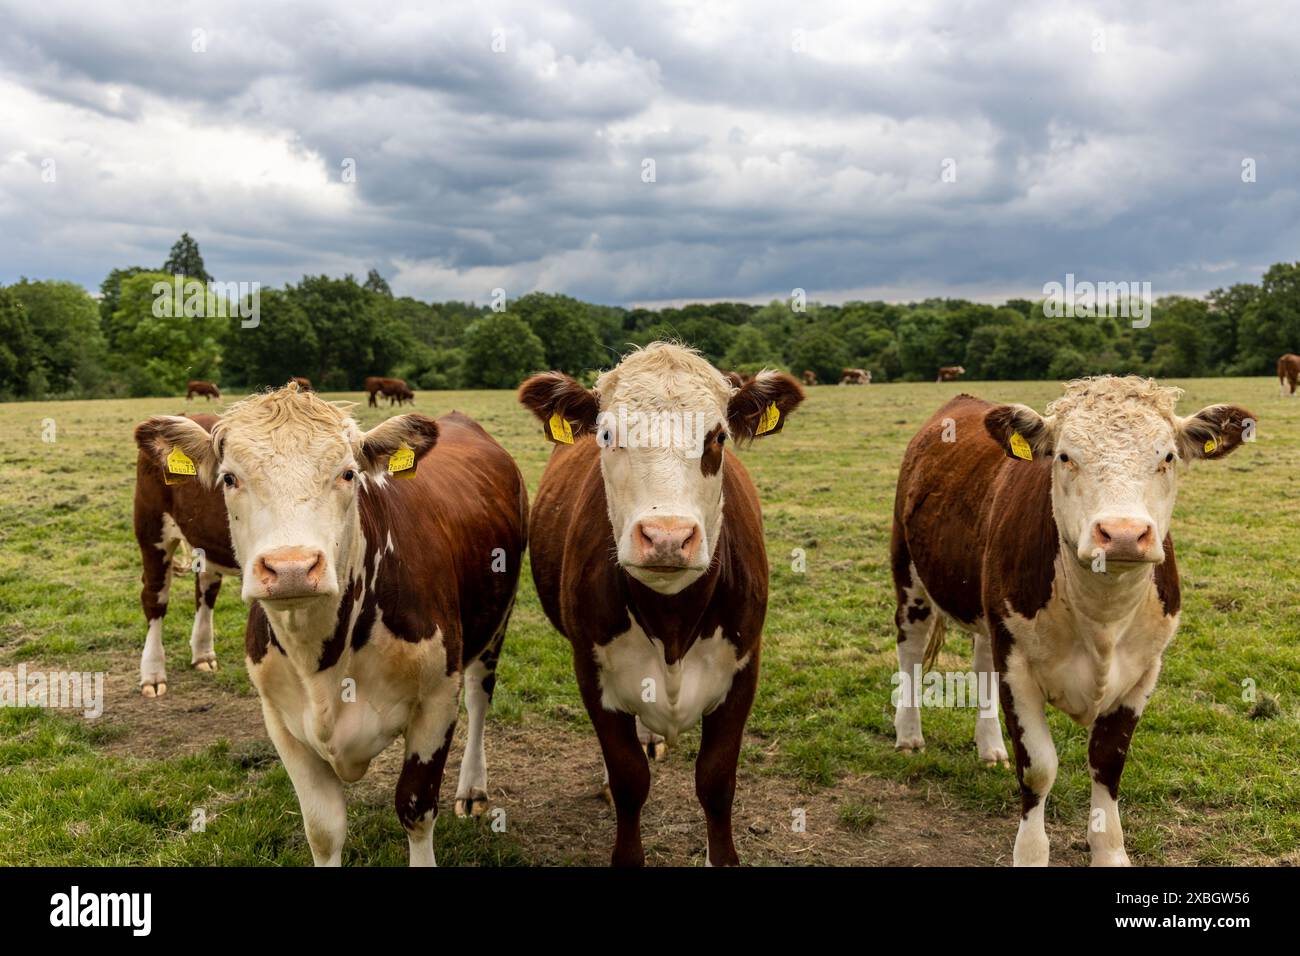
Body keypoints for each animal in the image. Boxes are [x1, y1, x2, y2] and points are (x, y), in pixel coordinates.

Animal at [519, 343, 804, 866]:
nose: (667, 537)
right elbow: (629, 778)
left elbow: (716, 782)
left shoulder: (744, 670)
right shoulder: (591, 671)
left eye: (718, 436)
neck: (672, 620)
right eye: (607, 434)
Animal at [890, 376, 1255, 866]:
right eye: (1064, 456)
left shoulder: (1143, 670)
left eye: (1168, 457)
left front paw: (1110, 852)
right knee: (910, 648)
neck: (1102, 619)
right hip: (909, 574)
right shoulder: (1017, 666)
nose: (1122, 534)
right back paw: (909, 734)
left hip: (989, 618)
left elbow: (1107, 763)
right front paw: (1030, 853)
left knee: (981, 661)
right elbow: (1039, 769)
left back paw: (990, 746)